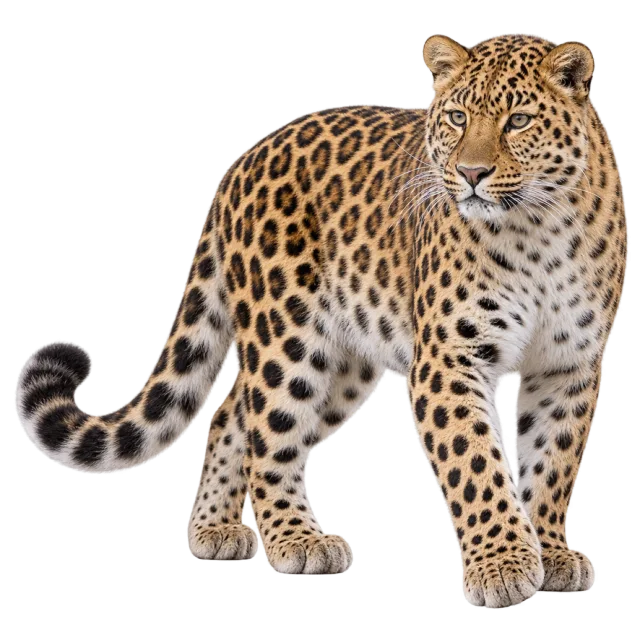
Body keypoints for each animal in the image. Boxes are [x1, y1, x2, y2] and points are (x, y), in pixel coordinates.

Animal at [16, 33, 628, 606]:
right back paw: (295, 539)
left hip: (344, 360)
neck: (538, 230)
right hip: (287, 335)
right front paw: (502, 567)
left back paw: (216, 528)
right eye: (458, 118)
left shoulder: (569, 364)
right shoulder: (448, 359)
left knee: (231, 415)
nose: (471, 173)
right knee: (269, 434)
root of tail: (243, 160)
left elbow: (552, 460)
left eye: (518, 121)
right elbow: (475, 461)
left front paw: (550, 552)